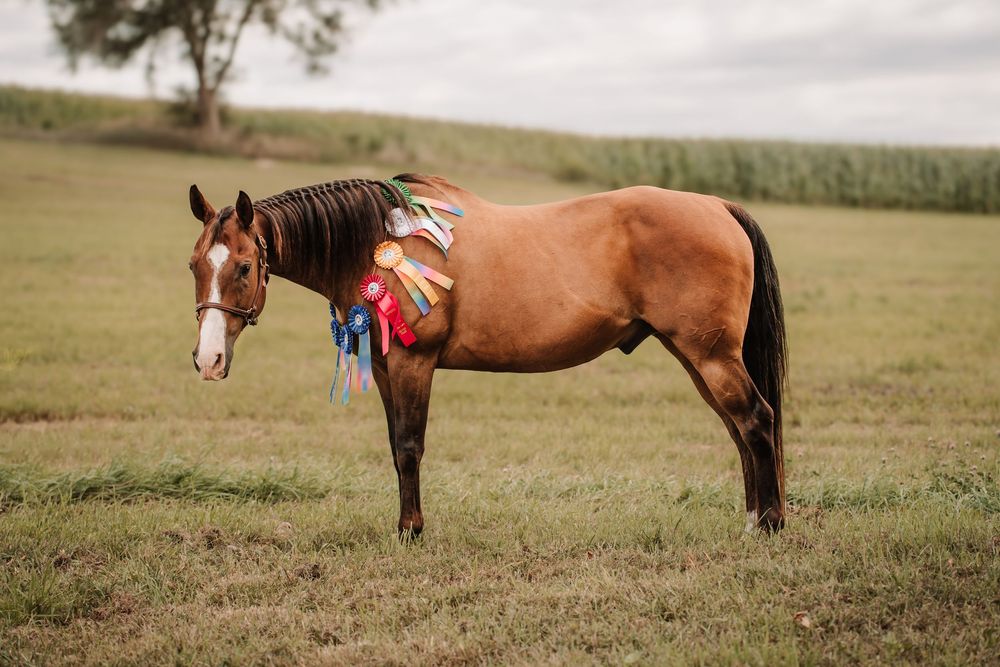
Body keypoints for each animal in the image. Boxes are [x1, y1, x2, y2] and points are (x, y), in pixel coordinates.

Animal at [187, 175, 787, 535]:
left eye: (244, 266)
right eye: (193, 264)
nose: (208, 360)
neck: (380, 243)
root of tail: (717, 207)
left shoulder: (413, 364)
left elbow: (409, 448)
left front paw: (411, 530)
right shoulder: (383, 368)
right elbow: (394, 449)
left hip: (710, 356)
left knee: (757, 421)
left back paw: (771, 523)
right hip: (699, 358)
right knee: (739, 430)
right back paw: (753, 518)